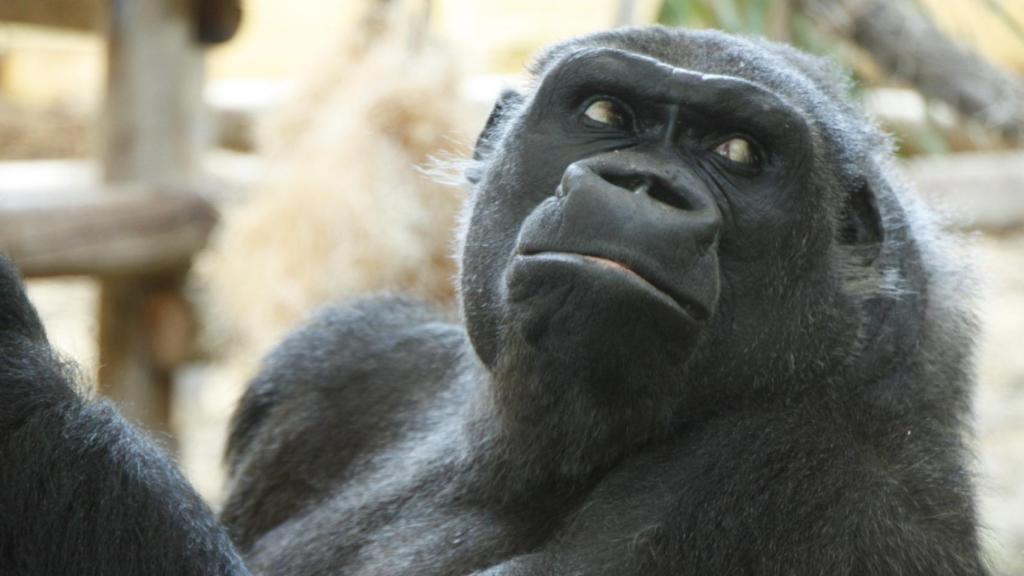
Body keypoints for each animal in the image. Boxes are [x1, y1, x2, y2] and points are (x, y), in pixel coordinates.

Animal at [0, 26, 991, 573]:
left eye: (740, 153)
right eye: (605, 115)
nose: (642, 187)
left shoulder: (788, 481)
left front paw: (19, 375)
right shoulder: (344, 356)